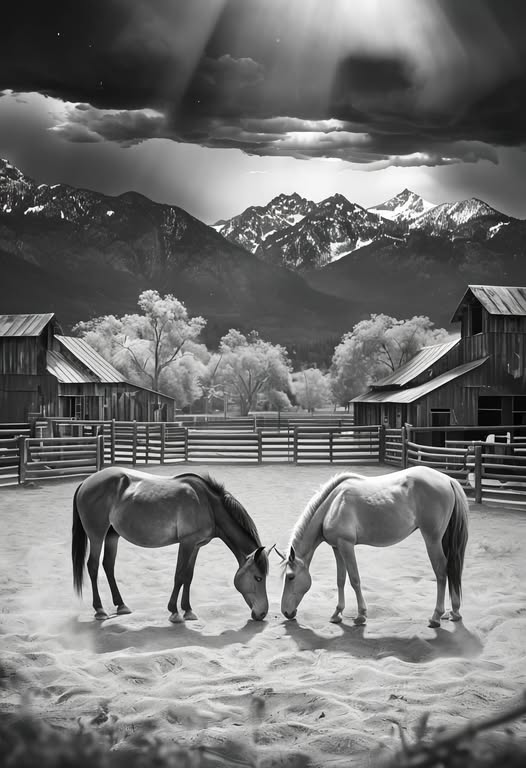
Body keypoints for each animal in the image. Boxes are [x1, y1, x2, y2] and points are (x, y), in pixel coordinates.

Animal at [72, 467, 272, 623]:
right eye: (258, 578)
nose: (262, 613)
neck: (207, 504)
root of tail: (86, 482)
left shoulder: (196, 545)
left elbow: (189, 576)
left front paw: (188, 610)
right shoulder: (186, 543)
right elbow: (179, 575)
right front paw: (174, 612)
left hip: (112, 536)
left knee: (108, 565)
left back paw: (121, 605)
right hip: (96, 535)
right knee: (93, 566)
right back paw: (100, 610)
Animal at [279, 466, 469, 628]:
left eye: (290, 577)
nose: (286, 612)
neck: (333, 505)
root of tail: (448, 479)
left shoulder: (346, 545)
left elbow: (354, 579)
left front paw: (361, 615)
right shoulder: (337, 547)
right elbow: (340, 580)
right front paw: (337, 613)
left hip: (432, 540)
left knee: (441, 572)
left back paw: (436, 617)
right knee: (451, 570)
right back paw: (455, 612)